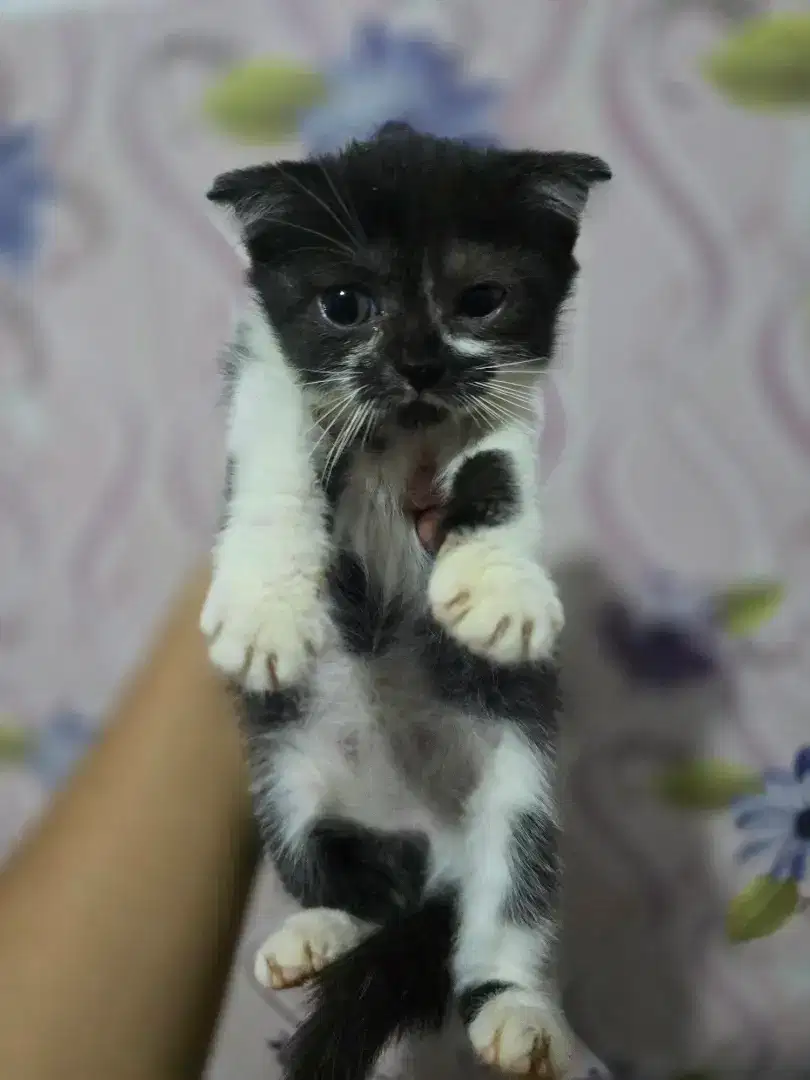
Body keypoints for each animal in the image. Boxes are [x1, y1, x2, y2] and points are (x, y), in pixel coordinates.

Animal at [203, 122, 609, 1075]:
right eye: (345, 304)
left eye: (480, 300)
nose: (419, 364)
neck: (398, 437)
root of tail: (429, 852)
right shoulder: (263, 363)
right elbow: (275, 447)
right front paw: (266, 606)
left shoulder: (506, 403)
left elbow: (498, 467)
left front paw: (500, 589)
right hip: (287, 780)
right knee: (348, 883)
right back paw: (315, 931)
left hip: (520, 790)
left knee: (504, 907)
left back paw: (519, 1011)